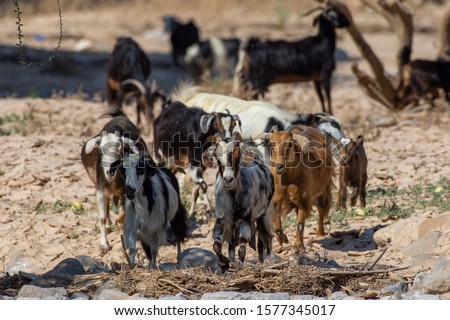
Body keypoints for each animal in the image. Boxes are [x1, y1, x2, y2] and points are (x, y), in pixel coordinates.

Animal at [79, 107, 146, 252]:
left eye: (120, 148)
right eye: (100, 149)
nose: (110, 171)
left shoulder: (126, 192)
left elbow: (123, 215)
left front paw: (121, 227)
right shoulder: (100, 191)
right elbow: (102, 218)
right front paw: (103, 245)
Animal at [204, 131, 274, 264]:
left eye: (237, 153)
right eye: (217, 156)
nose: (228, 179)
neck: (233, 196)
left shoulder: (245, 218)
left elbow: (242, 248)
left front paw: (239, 263)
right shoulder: (223, 219)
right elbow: (217, 245)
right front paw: (225, 262)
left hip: (263, 216)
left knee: (264, 241)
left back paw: (264, 260)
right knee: (232, 245)